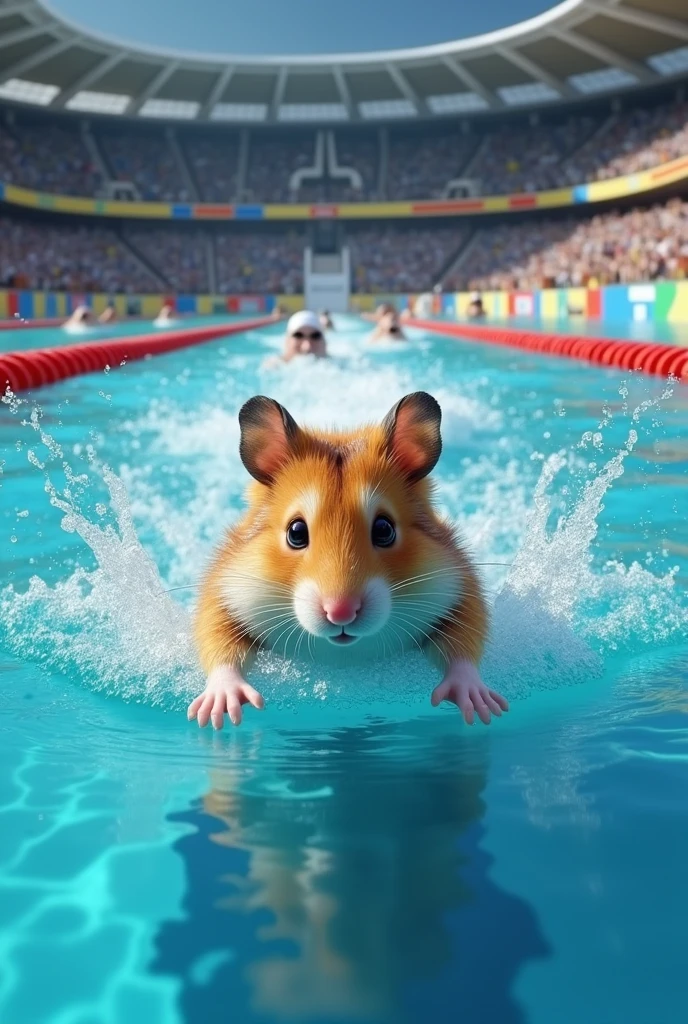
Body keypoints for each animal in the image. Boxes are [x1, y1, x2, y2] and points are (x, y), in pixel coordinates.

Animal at [190, 392, 508, 729]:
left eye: (384, 529)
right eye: (296, 532)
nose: (340, 612)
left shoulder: (461, 585)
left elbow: (464, 644)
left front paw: (481, 706)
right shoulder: (222, 588)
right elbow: (218, 639)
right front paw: (217, 712)